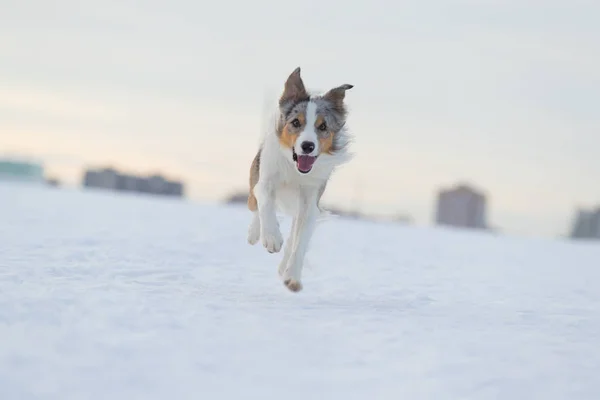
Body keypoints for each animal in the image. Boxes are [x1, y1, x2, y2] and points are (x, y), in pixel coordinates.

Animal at [246, 68, 354, 294]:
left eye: (323, 126)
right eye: (296, 122)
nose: (307, 146)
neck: (295, 168)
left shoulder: (309, 202)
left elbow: (300, 242)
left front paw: (292, 277)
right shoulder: (266, 180)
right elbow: (265, 203)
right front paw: (271, 238)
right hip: (254, 179)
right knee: (255, 206)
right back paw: (254, 234)